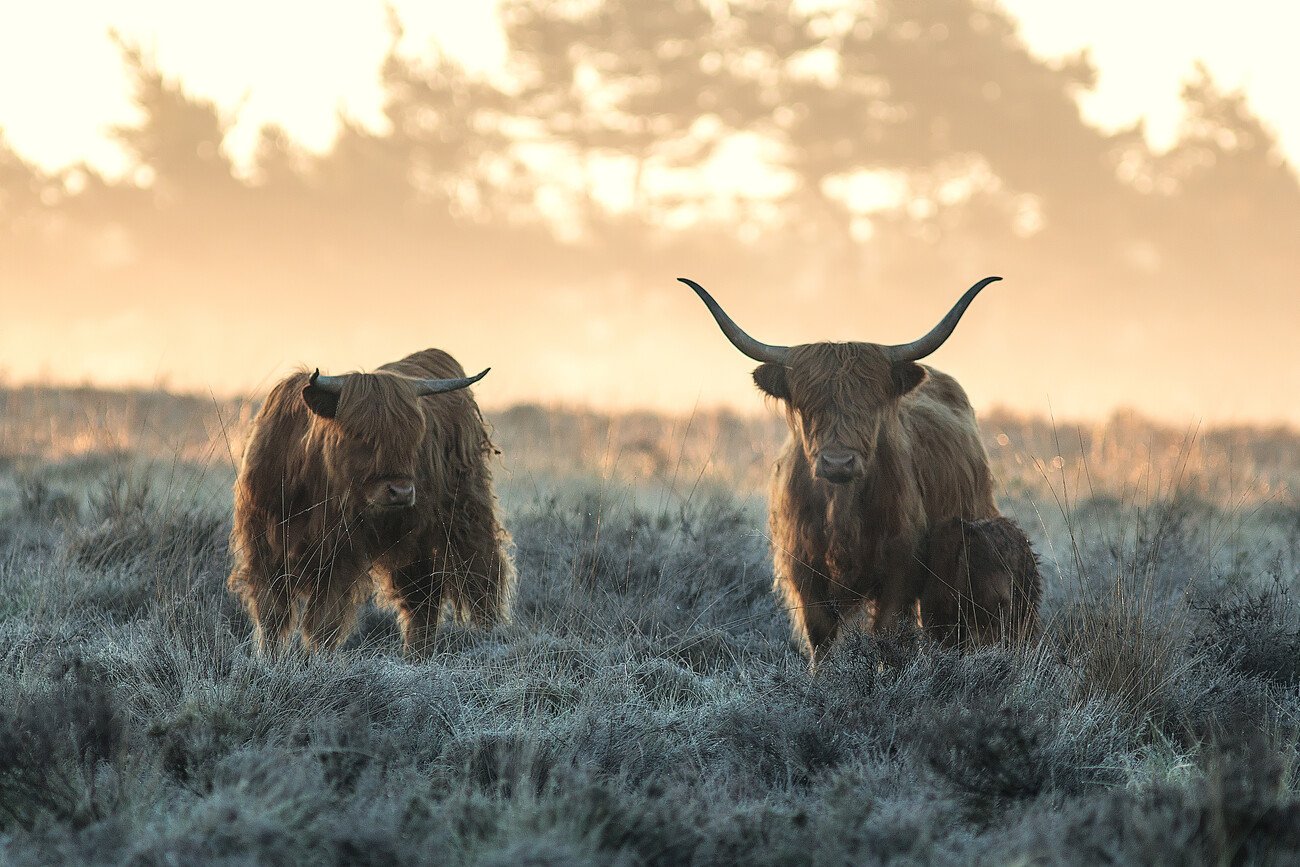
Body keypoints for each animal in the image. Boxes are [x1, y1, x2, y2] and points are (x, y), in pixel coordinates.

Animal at [228, 348, 512, 655]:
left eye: (414, 439)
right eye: (359, 435)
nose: (401, 492)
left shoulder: (338, 555)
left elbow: (323, 621)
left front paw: (316, 659)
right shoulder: (263, 547)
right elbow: (272, 615)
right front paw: (269, 658)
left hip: (465, 516)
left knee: (480, 575)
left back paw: (486, 637)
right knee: (422, 595)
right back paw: (417, 656)